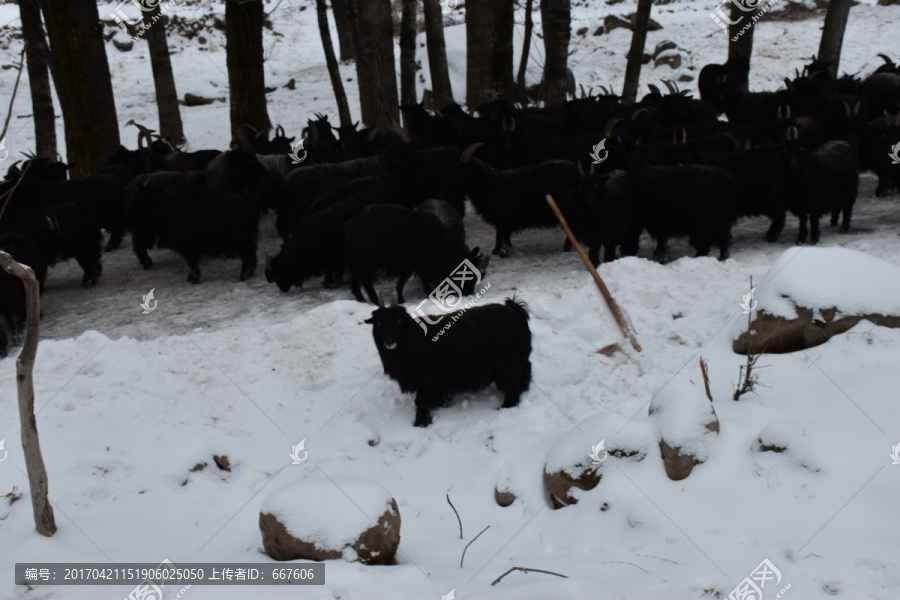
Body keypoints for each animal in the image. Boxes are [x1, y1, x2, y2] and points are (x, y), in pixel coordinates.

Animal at [366, 292, 536, 426]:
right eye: (379, 322)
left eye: (399, 320)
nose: (389, 342)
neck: (411, 338)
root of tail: (514, 310)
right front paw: (440, 404)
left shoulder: (425, 380)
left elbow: (420, 401)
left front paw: (420, 422)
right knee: (526, 369)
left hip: (508, 364)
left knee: (512, 385)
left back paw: (505, 406)